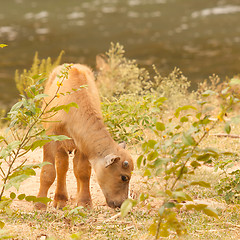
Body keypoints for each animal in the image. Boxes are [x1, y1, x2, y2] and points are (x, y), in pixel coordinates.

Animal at [35, 64, 134, 209]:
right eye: (124, 177)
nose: (121, 203)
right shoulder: (51, 138)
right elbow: (48, 172)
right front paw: (39, 205)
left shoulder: (82, 143)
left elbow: (82, 171)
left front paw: (85, 202)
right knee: (62, 167)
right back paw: (60, 200)